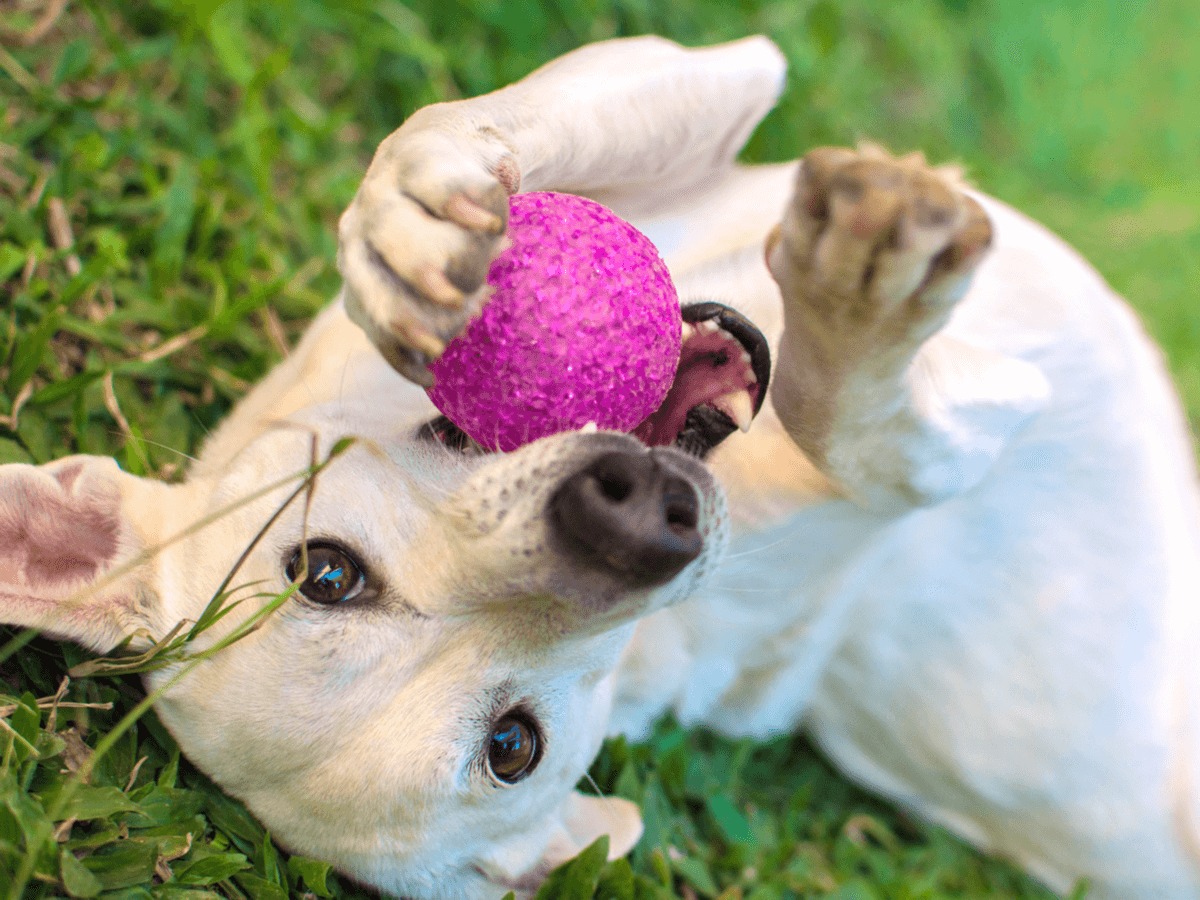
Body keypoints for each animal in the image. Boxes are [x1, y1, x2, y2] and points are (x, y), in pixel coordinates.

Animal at [2, 35, 1200, 900]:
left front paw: (413, 211)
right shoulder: (936, 446)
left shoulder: (700, 81)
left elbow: (448, 127)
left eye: (326, 573)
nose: (630, 518)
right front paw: (866, 299)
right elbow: (851, 421)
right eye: (512, 747)